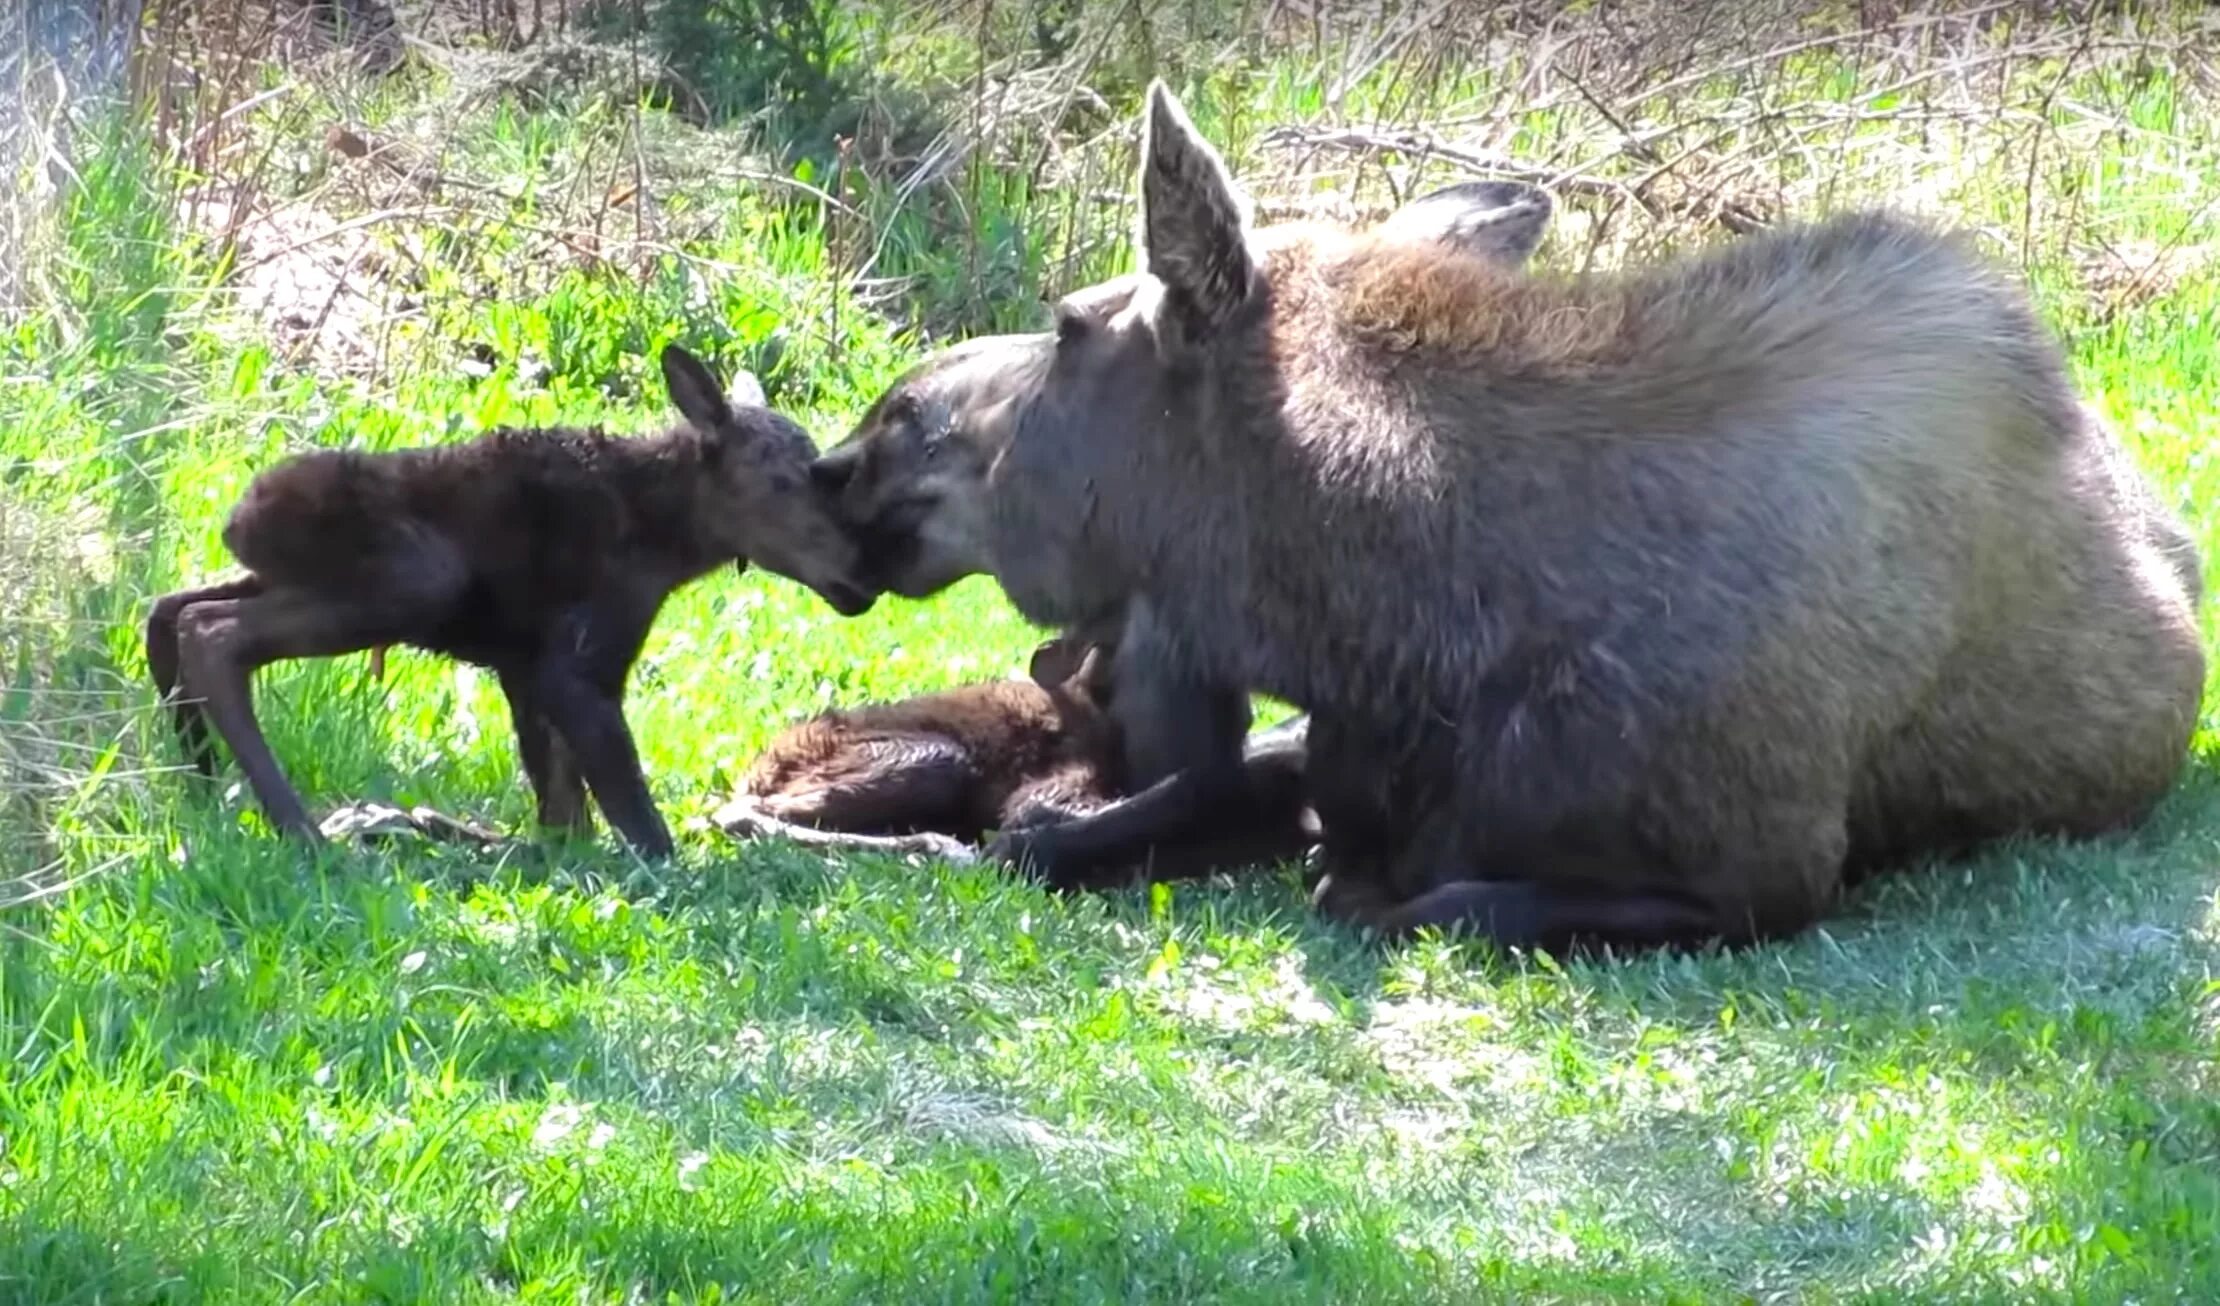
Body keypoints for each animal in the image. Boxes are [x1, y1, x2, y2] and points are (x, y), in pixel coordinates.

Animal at [145, 342, 874, 861]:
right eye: (782, 483)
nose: (861, 579)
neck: (673, 537)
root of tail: (236, 520)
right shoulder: (574, 664)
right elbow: (639, 825)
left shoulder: (524, 667)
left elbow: (564, 817)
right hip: (415, 578)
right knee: (212, 633)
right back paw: (297, 827)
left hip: (282, 574)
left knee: (171, 606)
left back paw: (202, 785)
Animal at [812, 81, 2202, 955]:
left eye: (1067, 325)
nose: (864, 438)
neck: (1389, 632)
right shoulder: (1318, 745)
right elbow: (1051, 839)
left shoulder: (1762, 878)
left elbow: (1420, 904)